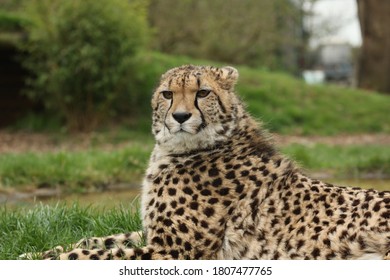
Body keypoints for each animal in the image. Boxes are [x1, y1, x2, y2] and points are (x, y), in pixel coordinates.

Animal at [22, 64, 388, 260]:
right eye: (168, 94)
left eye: (203, 93)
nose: (181, 117)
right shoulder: (152, 236)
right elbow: (97, 241)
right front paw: (37, 251)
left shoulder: (172, 251)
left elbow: (93, 254)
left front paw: (42, 256)